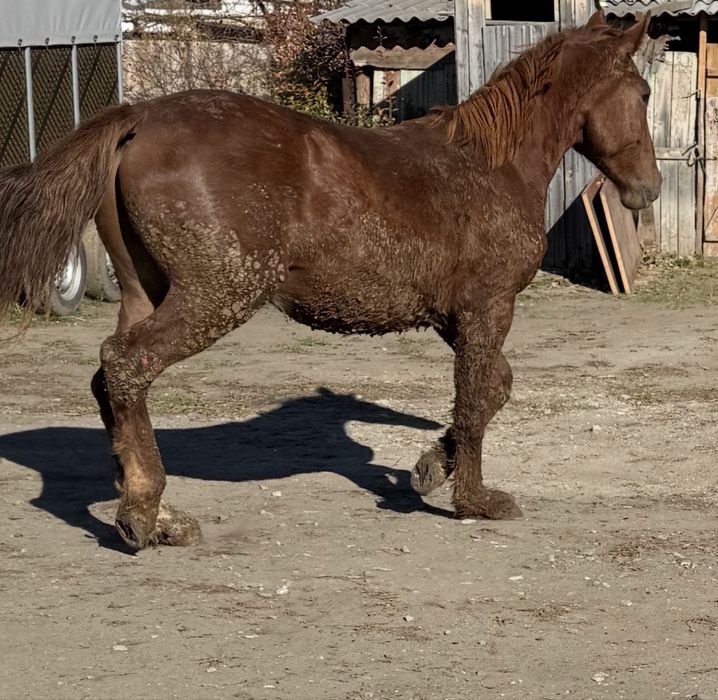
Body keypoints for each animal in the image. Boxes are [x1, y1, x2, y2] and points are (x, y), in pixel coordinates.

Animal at [0, 10, 660, 550]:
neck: (488, 166)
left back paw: (154, 514)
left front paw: (429, 467)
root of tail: (139, 116)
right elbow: (476, 397)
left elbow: (494, 388)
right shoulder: (487, 309)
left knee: (109, 375)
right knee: (126, 363)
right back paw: (144, 516)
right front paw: (474, 501)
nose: (646, 190)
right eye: (644, 92)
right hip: (216, 298)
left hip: (147, 292)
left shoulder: (458, 318)